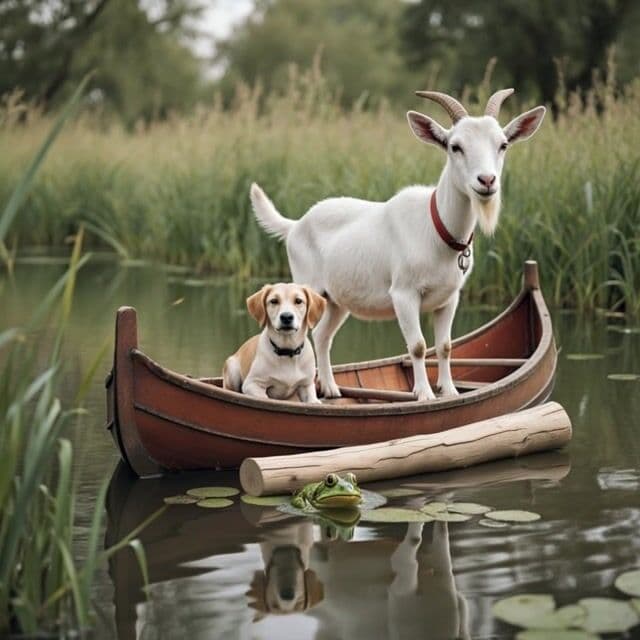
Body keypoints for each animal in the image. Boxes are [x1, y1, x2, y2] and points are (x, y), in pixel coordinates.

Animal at [250, 89, 545, 401]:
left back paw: (331, 389)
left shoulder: (450, 297)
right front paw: (425, 395)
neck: (437, 229)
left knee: (322, 336)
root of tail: (295, 225)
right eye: (455, 147)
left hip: (335, 300)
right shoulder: (404, 294)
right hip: (307, 286)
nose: (487, 181)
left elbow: (445, 346)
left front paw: (450, 391)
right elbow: (417, 346)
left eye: (503, 144)